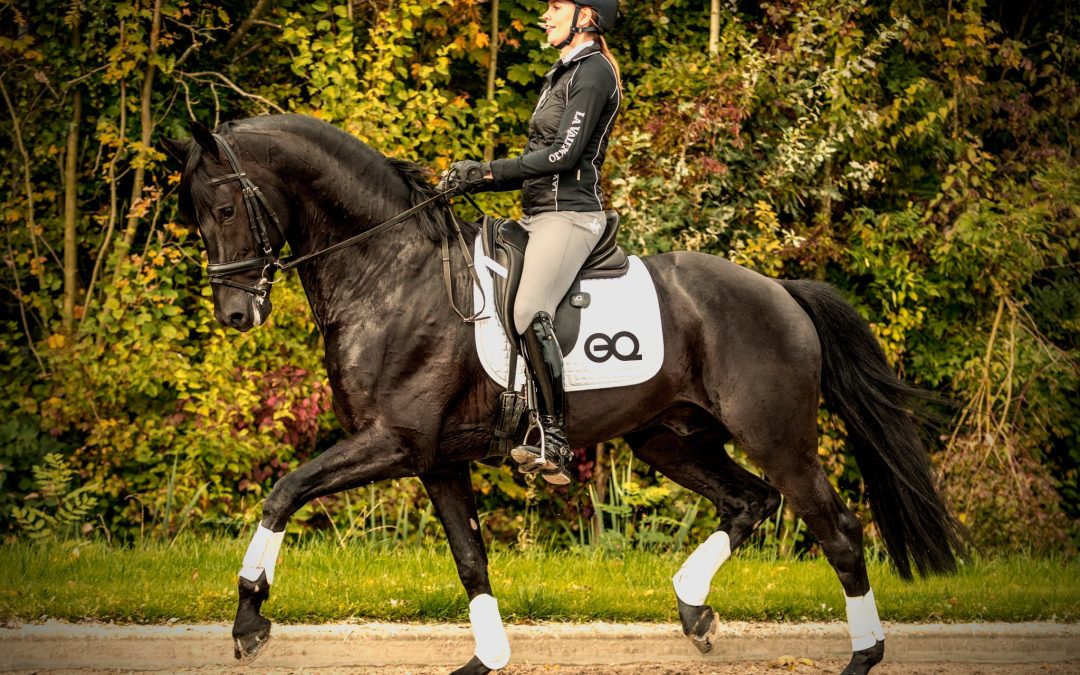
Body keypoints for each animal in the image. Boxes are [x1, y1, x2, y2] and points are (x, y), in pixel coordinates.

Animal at [165, 113, 963, 675]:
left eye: (227, 209)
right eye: (196, 215)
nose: (234, 313)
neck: (390, 273)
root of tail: (780, 291)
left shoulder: (394, 440)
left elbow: (284, 491)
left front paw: (249, 617)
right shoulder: (435, 459)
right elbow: (471, 560)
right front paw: (486, 658)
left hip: (779, 437)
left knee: (837, 529)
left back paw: (861, 654)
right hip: (671, 437)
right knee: (749, 502)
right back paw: (694, 610)